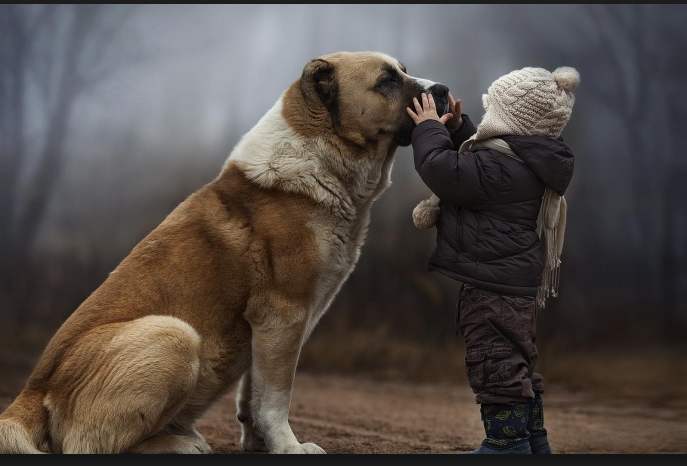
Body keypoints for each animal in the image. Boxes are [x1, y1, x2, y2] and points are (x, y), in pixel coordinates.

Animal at [0, 51, 452, 456]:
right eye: (386, 80)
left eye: (404, 71)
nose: (444, 91)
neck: (321, 158)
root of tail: (31, 391)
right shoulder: (284, 314)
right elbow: (276, 397)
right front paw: (289, 446)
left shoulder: (270, 327)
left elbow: (254, 393)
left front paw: (260, 443)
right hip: (175, 335)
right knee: (89, 445)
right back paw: (181, 444)